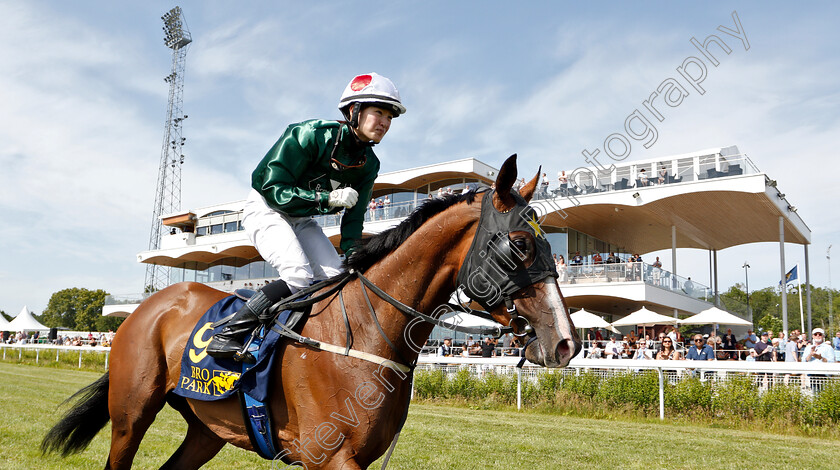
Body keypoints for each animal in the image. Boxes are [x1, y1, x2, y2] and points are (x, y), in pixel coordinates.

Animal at [42, 156, 580, 468]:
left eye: (549, 245)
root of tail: (149, 305)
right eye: (520, 244)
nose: (566, 342)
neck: (362, 334)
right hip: (131, 415)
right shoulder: (331, 457)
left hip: (207, 427)